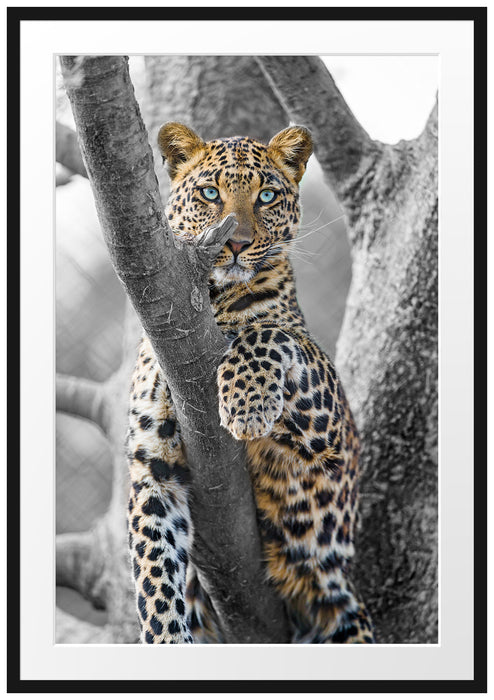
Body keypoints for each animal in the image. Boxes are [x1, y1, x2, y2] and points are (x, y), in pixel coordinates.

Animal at [126, 121, 375, 644]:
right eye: (209, 193)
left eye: (266, 196)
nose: (237, 243)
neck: (210, 303)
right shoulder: (151, 467)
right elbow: (154, 574)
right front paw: (166, 637)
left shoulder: (331, 431)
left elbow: (268, 332)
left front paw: (247, 405)